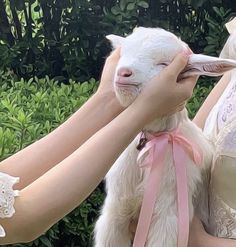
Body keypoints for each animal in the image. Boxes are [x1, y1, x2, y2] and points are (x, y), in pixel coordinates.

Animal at [94, 27, 236, 247]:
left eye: (164, 64)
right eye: (124, 53)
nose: (123, 72)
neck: (153, 142)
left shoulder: (169, 215)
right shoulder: (115, 210)